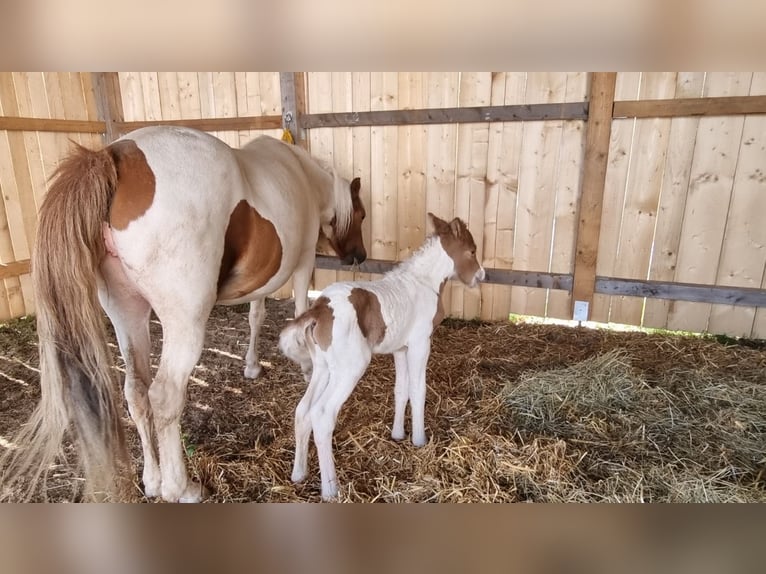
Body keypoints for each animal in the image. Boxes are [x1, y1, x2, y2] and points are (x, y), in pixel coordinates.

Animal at [3, 127, 368, 504]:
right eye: (361, 215)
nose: (359, 255)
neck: (303, 175)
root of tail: (112, 157)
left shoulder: (262, 279)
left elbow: (256, 316)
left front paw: (252, 365)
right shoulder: (303, 264)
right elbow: (297, 313)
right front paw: (307, 367)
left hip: (127, 312)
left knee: (136, 393)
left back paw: (152, 481)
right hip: (185, 322)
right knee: (164, 396)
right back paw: (181, 488)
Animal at [280, 214, 486, 502]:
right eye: (472, 251)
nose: (481, 275)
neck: (424, 282)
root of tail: (320, 309)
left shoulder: (401, 348)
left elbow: (401, 390)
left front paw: (398, 434)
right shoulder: (421, 342)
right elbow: (418, 389)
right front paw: (419, 440)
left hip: (323, 367)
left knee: (303, 410)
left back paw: (298, 473)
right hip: (351, 367)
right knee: (322, 414)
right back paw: (331, 489)